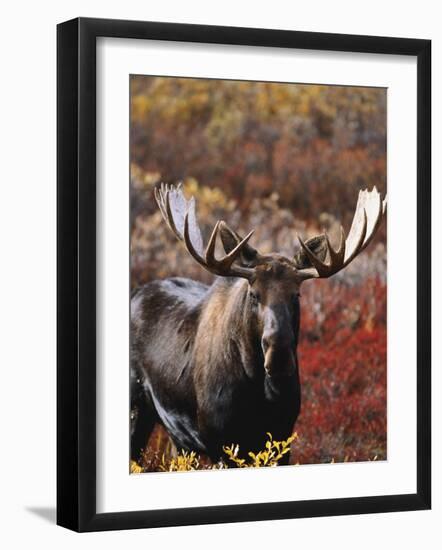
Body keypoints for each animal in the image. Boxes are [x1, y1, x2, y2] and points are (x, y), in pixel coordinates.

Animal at [129, 185, 386, 466]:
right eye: (254, 294)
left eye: (297, 294)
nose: (279, 356)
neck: (258, 393)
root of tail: (136, 292)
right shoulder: (220, 442)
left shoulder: (283, 436)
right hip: (137, 409)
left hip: (179, 439)